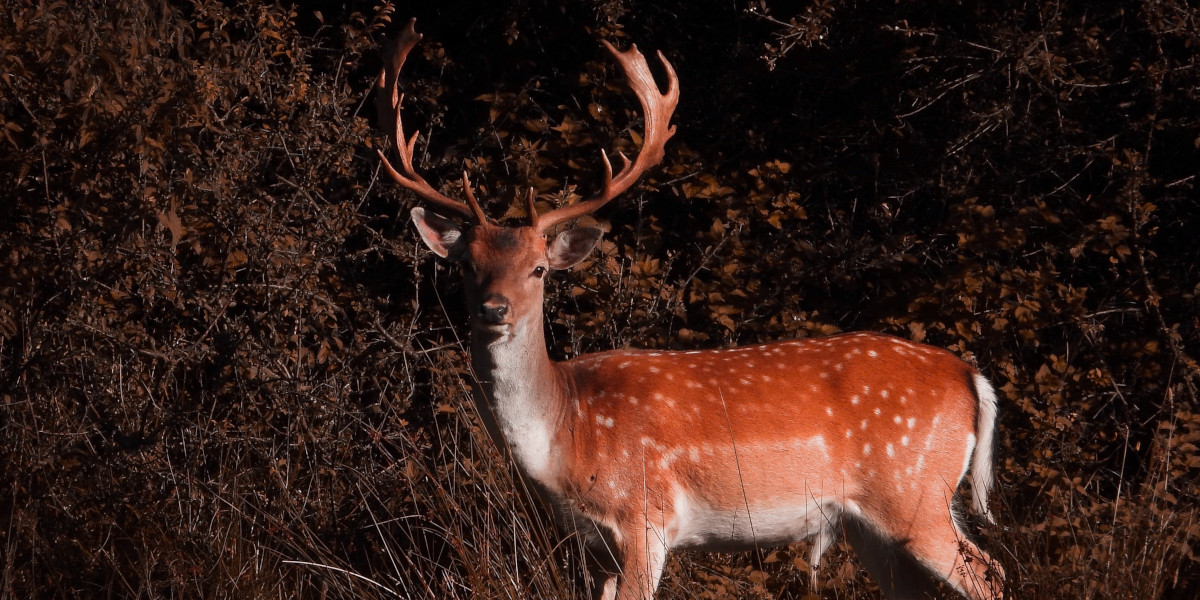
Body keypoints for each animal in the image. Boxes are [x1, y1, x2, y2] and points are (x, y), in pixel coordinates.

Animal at [372, 18, 1003, 600]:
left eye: (540, 269)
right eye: (466, 264)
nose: (495, 308)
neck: (566, 435)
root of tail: (971, 377)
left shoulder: (643, 517)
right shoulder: (592, 545)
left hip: (913, 491)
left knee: (989, 571)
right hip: (869, 523)